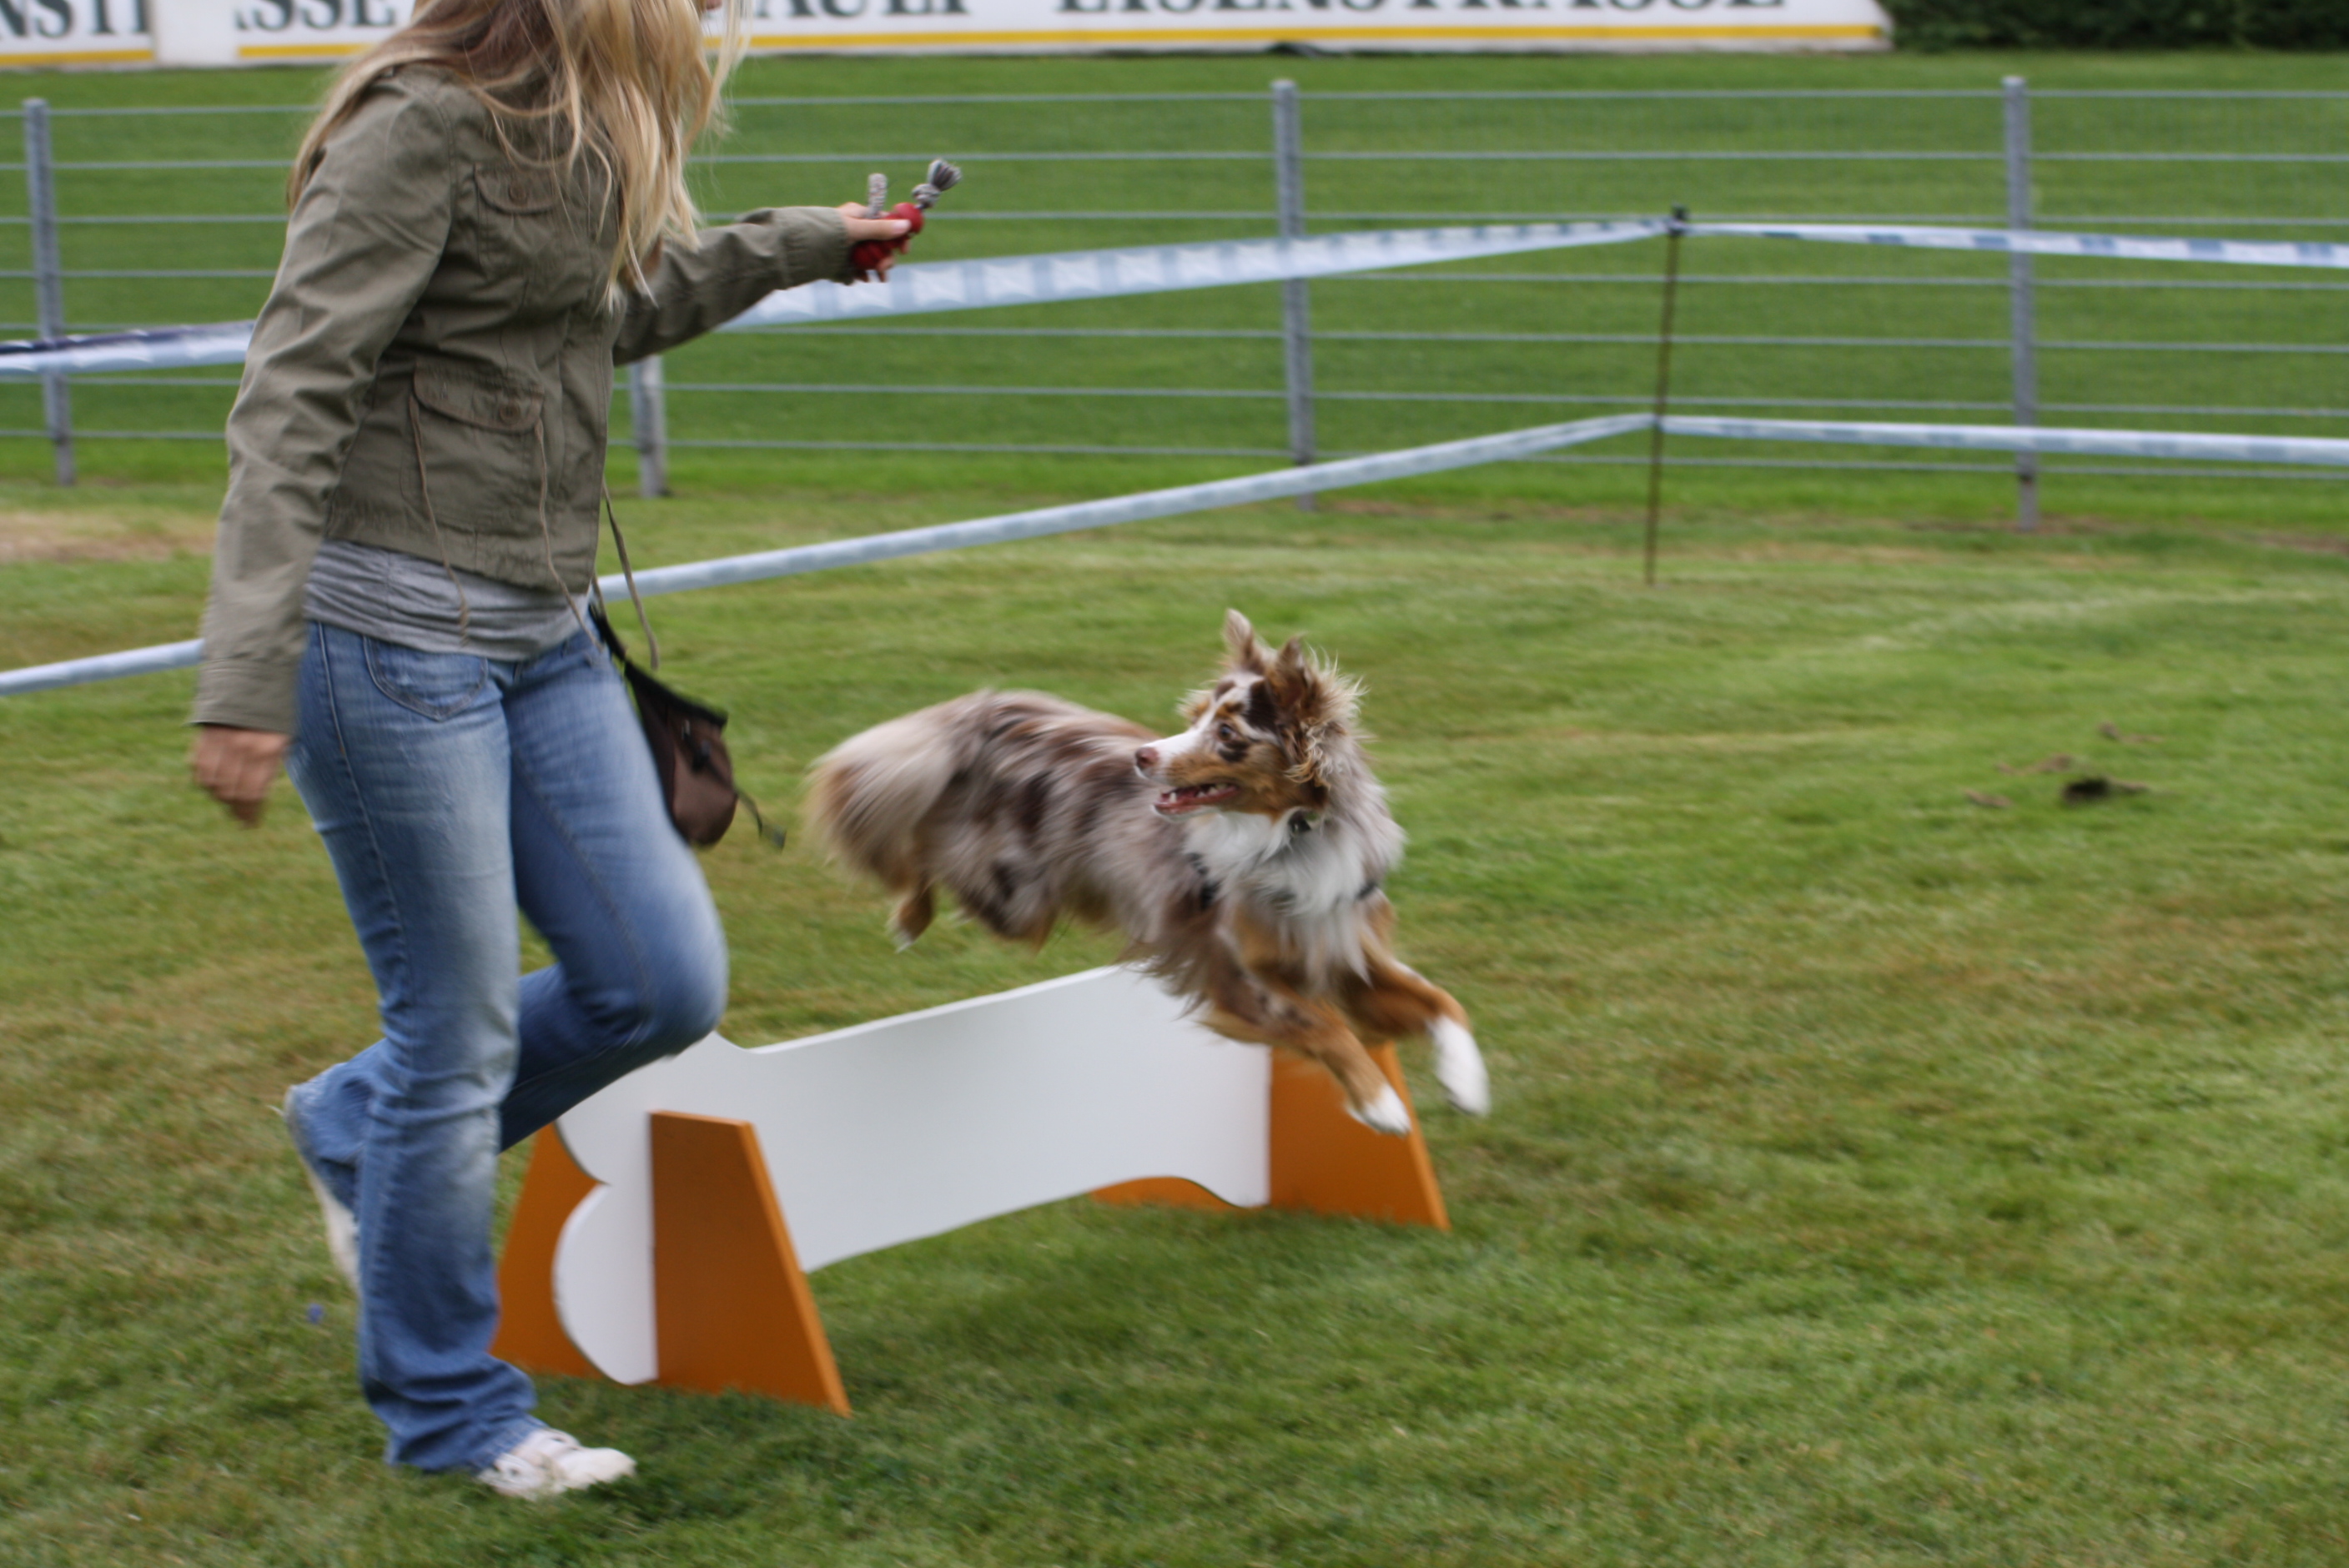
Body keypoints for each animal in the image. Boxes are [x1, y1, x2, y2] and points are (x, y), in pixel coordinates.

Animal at [804, 610, 1489, 1135]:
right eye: (1196, 717)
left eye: (1226, 733)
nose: (1142, 755)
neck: (1295, 837)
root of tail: (989, 713)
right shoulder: (1237, 970)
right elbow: (1323, 1025)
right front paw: (1382, 1105)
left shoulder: (1348, 952)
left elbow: (1444, 1002)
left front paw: (1467, 1083)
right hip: (1013, 894)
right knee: (915, 846)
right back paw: (908, 916)